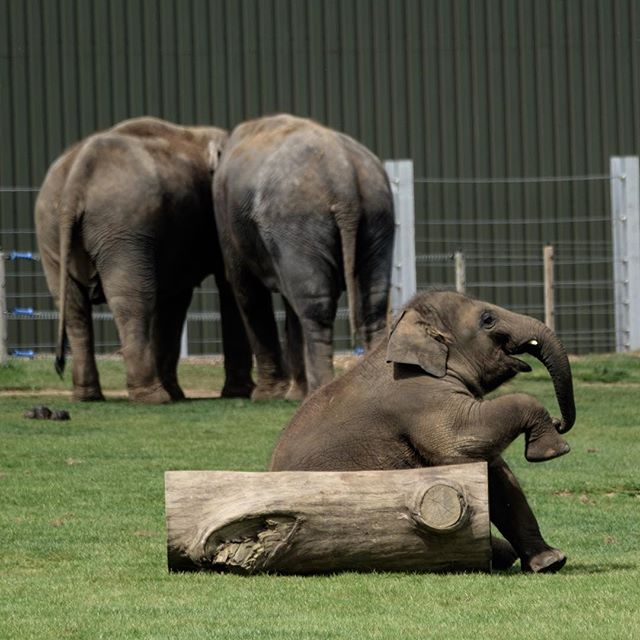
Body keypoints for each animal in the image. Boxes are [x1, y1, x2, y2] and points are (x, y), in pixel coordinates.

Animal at [35, 116, 254, 404]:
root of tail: (75, 181)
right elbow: (227, 283)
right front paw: (239, 393)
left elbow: (175, 299)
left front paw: (178, 392)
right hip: (121, 226)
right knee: (132, 300)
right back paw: (154, 397)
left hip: (51, 227)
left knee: (72, 306)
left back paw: (89, 396)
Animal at [213, 114, 395, 401]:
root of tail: (344, 176)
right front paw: (290, 394)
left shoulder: (226, 217)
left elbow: (245, 287)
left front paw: (266, 396)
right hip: (377, 215)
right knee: (373, 302)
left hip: (299, 222)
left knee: (314, 307)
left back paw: (317, 391)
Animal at [271, 290, 576, 573]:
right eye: (487, 319)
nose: (559, 422)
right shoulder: (420, 399)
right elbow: (461, 443)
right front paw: (553, 450)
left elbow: (497, 475)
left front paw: (551, 562)